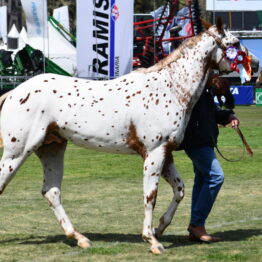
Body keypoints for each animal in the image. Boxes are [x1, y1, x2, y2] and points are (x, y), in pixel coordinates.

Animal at [0, 18, 258, 254]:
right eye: (236, 43)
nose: (255, 64)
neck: (170, 88)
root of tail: (13, 93)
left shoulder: (166, 153)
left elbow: (180, 189)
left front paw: (159, 229)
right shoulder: (154, 153)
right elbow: (150, 196)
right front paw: (152, 241)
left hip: (52, 148)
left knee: (51, 192)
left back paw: (80, 238)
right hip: (18, 151)